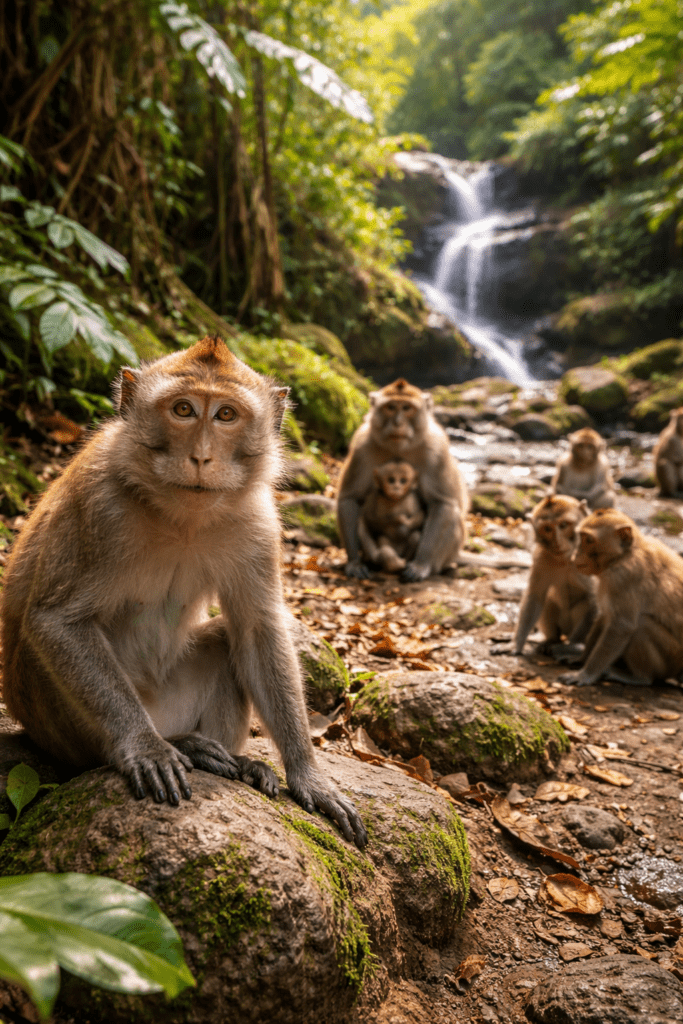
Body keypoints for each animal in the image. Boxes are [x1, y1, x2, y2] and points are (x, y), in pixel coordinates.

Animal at [0, 336, 367, 848]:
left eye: (226, 415)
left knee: (226, 641)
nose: (202, 456)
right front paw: (145, 747)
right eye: (183, 410)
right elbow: (55, 621)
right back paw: (174, 745)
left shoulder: (257, 522)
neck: (183, 516)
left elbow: (258, 629)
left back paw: (232, 759)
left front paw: (307, 774)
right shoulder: (98, 504)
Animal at [337, 378, 468, 582]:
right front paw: (355, 563)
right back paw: (380, 560)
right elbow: (350, 498)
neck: (399, 448)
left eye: (407, 408)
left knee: (451, 514)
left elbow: (442, 503)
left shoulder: (437, 450)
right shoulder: (361, 446)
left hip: (448, 554)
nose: (398, 423)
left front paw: (420, 565)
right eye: (391, 407)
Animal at [559, 508, 683, 687]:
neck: (624, 555)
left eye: (588, 539)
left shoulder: (623, 576)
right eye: (581, 537)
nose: (576, 554)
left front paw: (585, 674)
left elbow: (621, 626)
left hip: (671, 659)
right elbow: (604, 616)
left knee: (642, 625)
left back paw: (639, 677)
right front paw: (581, 659)